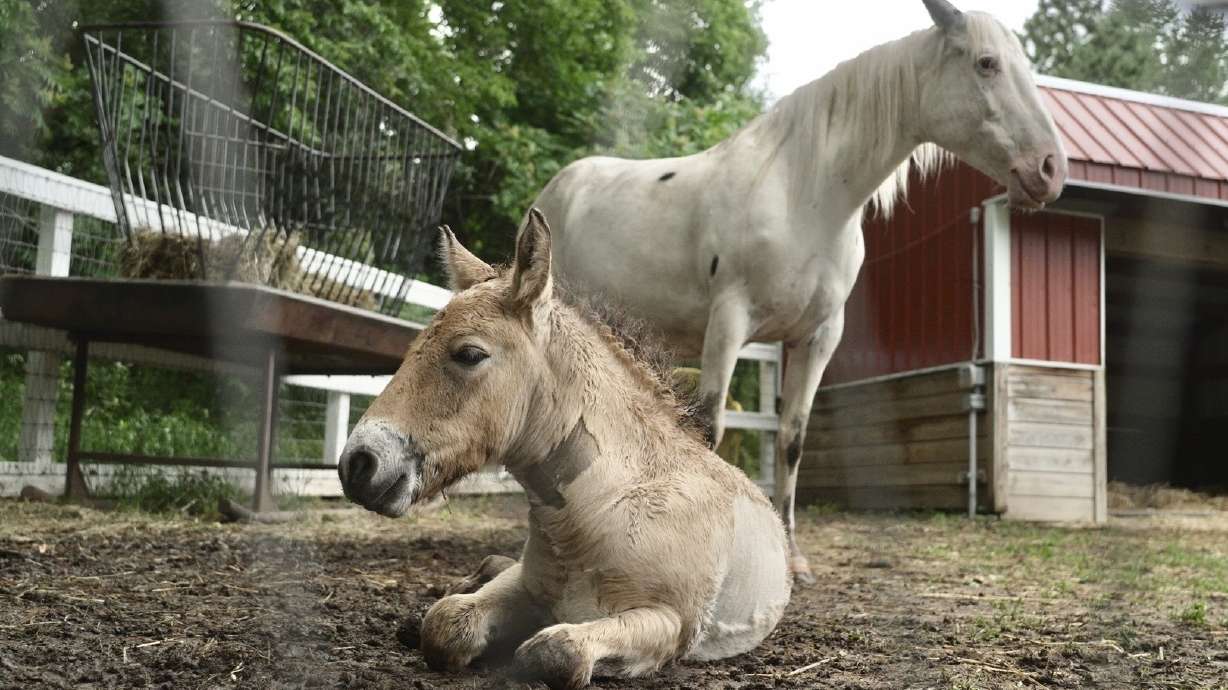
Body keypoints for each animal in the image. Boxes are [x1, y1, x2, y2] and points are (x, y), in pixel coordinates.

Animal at [337, 210, 791, 690]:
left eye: (469, 354)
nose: (359, 463)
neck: (601, 509)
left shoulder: (671, 621)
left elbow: (555, 652)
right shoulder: (524, 584)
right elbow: (444, 624)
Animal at [529, 0, 1068, 585]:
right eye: (986, 63)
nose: (1050, 170)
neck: (804, 193)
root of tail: (554, 190)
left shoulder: (816, 337)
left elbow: (792, 440)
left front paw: (793, 558)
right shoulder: (729, 324)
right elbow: (710, 430)